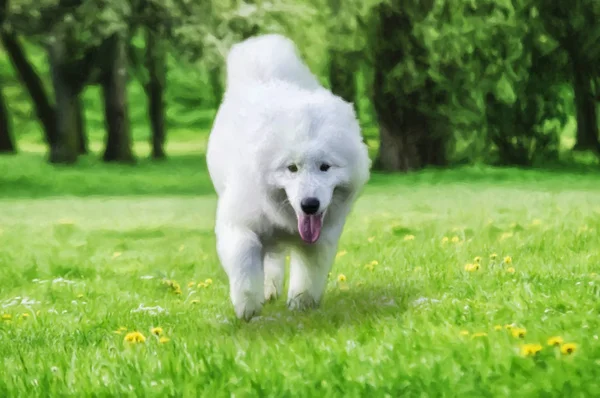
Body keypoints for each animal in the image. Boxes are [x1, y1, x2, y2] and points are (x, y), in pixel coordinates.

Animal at [205, 34, 370, 320]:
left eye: (325, 167)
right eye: (291, 168)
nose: (310, 204)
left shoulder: (320, 240)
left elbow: (308, 276)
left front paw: (301, 305)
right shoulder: (238, 225)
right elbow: (245, 263)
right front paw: (248, 307)